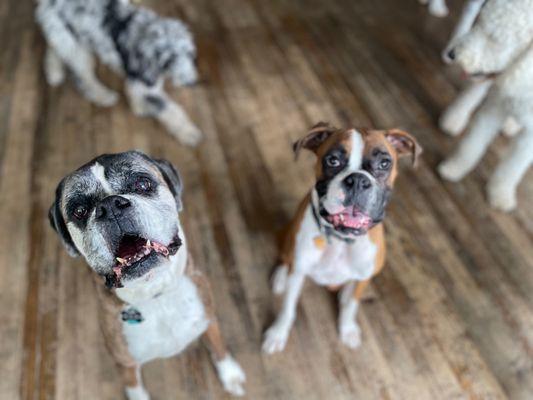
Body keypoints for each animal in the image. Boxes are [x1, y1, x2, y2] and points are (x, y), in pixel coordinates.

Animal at [35, 0, 202, 146]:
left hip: (67, 37)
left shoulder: (140, 82)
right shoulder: (146, 85)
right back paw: (103, 95)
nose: (191, 82)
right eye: (169, 60)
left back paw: (54, 72)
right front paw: (189, 133)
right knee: (84, 77)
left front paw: (139, 107)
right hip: (77, 47)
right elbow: (171, 109)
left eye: (189, 54)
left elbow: (135, 93)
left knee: (55, 48)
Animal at [47, 152, 245, 398]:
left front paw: (230, 374)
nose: (110, 206)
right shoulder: (125, 364)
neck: (155, 294)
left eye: (142, 184)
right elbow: (135, 388)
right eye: (80, 211)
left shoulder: (209, 317)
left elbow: (219, 347)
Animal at [260, 122, 420, 354]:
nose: (358, 180)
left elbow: (351, 305)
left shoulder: (363, 278)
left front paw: (348, 329)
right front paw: (278, 333)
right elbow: (288, 308)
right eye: (332, 160)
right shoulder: (298, 274)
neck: (340, 240)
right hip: (288, 236)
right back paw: (281, 276)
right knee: (285, 257)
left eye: (384, 163)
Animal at [436, 0, 532, 212]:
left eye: (495, 39)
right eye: (480, 23)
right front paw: (454, 168)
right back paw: (454, 118)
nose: (453, 54)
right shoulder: (495, 106)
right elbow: (473, 142)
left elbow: (513, 167)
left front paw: (500, 194)